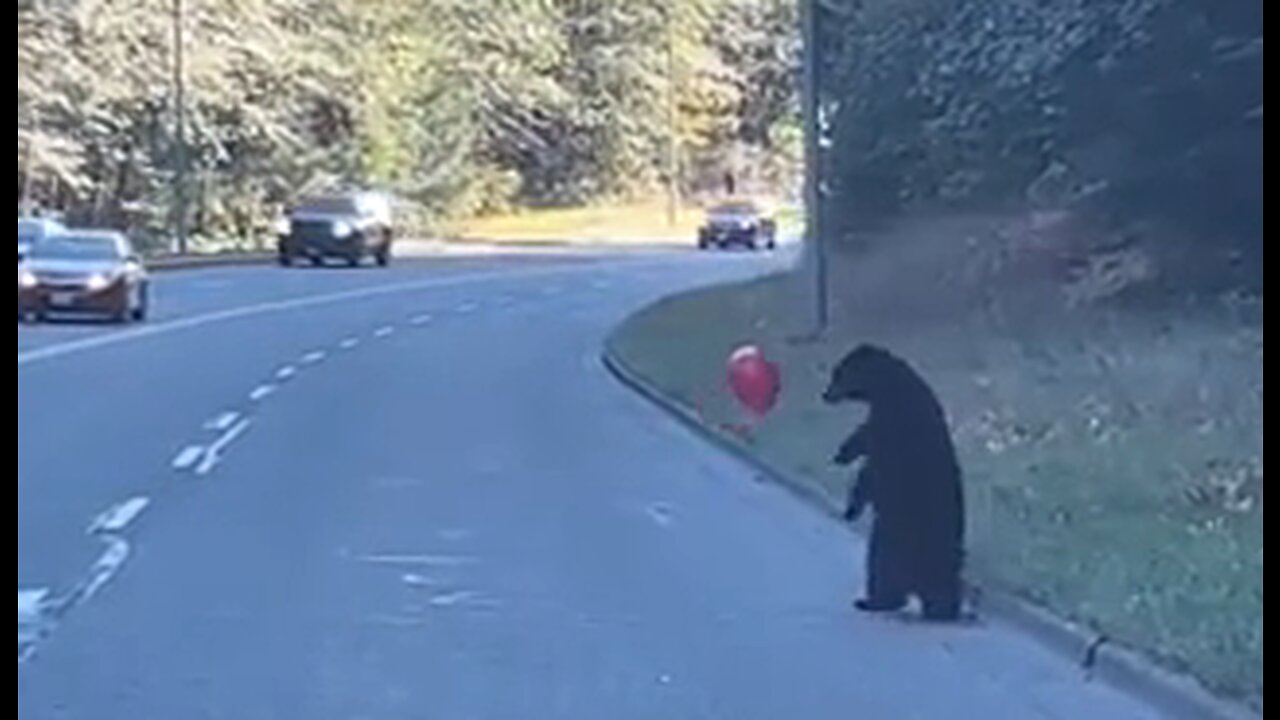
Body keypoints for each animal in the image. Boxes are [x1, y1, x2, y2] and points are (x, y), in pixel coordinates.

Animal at [824, 340, 962, 617]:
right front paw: (842, 453)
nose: (825, 394)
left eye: (838, 373)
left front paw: (851, 506)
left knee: (882, 568)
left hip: (894, 538)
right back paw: (943, 608)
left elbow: (870, 463)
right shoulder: (881, 414)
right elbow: (863, 436)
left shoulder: (892, 421)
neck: (888, 384)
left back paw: (872, 601)